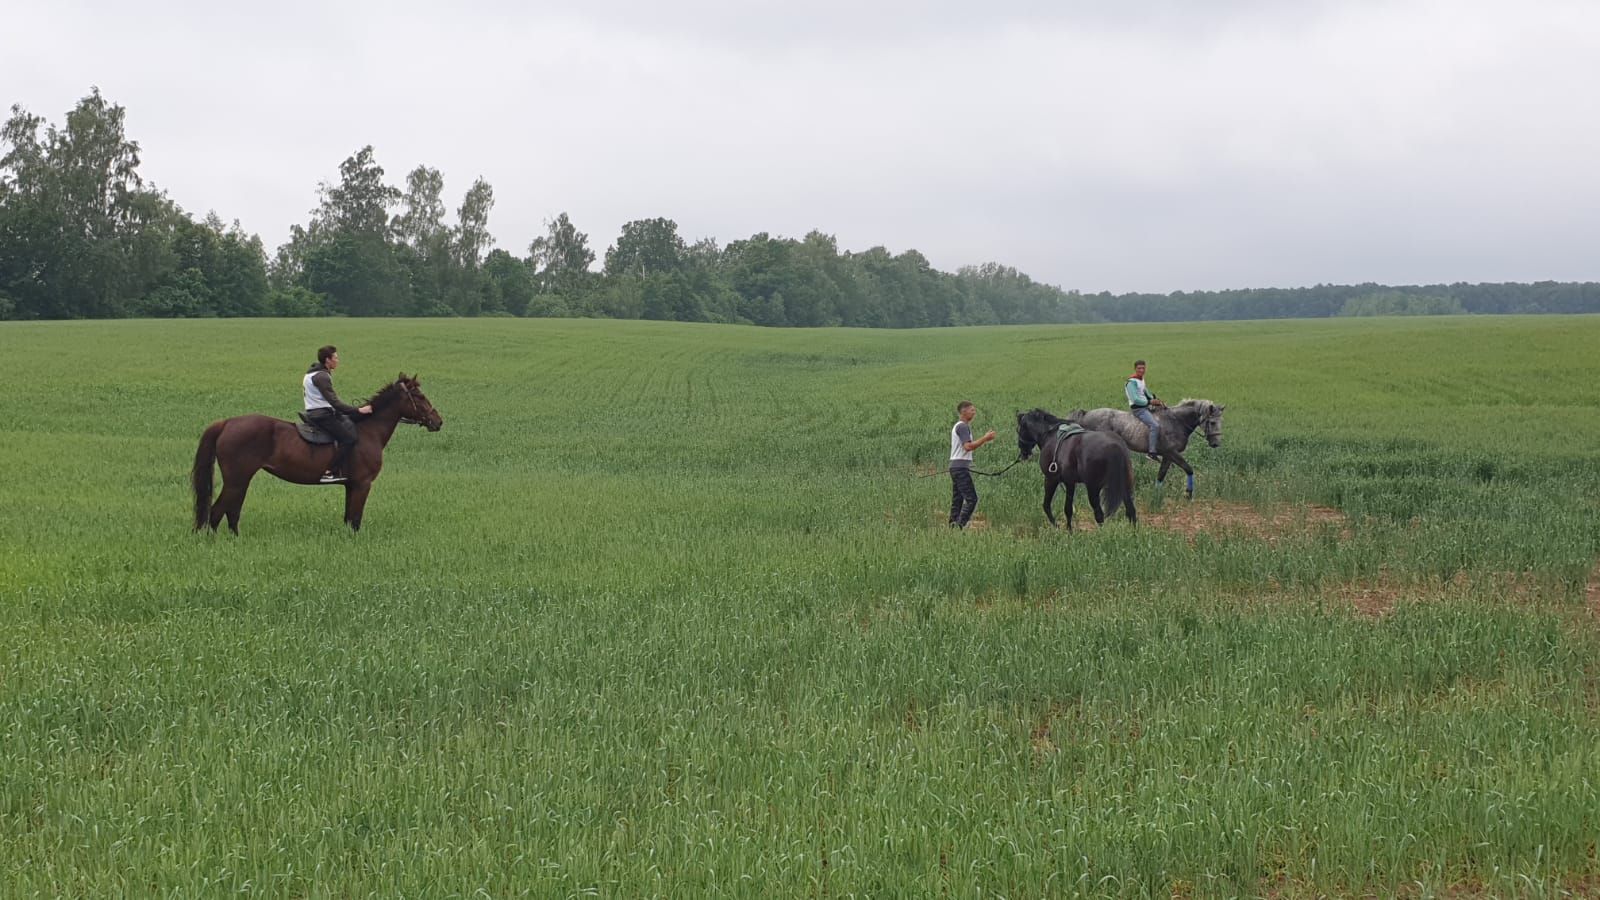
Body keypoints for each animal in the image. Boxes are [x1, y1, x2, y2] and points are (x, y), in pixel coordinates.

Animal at [192, 373, 444, 531]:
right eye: (419, 397)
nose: (438, 421)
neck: (368, 430)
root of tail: (227, 423)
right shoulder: (362, 484)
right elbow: (355, 520)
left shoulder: (351, 485)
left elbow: (348, 518)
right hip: (237, 480)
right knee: (217, 512)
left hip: (241, 480)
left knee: (231, 512)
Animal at [1075, 398, 1222, 496]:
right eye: (1212, 422)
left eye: (1221, 421)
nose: (1216, 444)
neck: (1176, 422)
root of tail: (1085, 414)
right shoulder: (1172, 453)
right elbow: (1189, 469)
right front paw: (1189, 494)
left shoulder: (1168, 457)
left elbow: (1161, 475)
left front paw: (1156, 495)